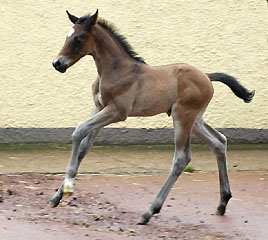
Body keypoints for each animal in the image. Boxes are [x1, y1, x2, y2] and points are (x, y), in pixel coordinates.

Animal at [49, 9, 253, 225]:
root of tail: (206, 76)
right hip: (195, 120)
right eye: (67, 36)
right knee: (219, 142)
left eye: (78, 38)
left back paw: (149, 211)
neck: (117, 70)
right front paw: (57, 196)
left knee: (182, 157)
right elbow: (84, 147)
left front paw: (68, 186)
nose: (57, 63)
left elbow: (78, 130)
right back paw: (223, 201)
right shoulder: (98, 108)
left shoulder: (117, 111)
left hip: (183, 117)